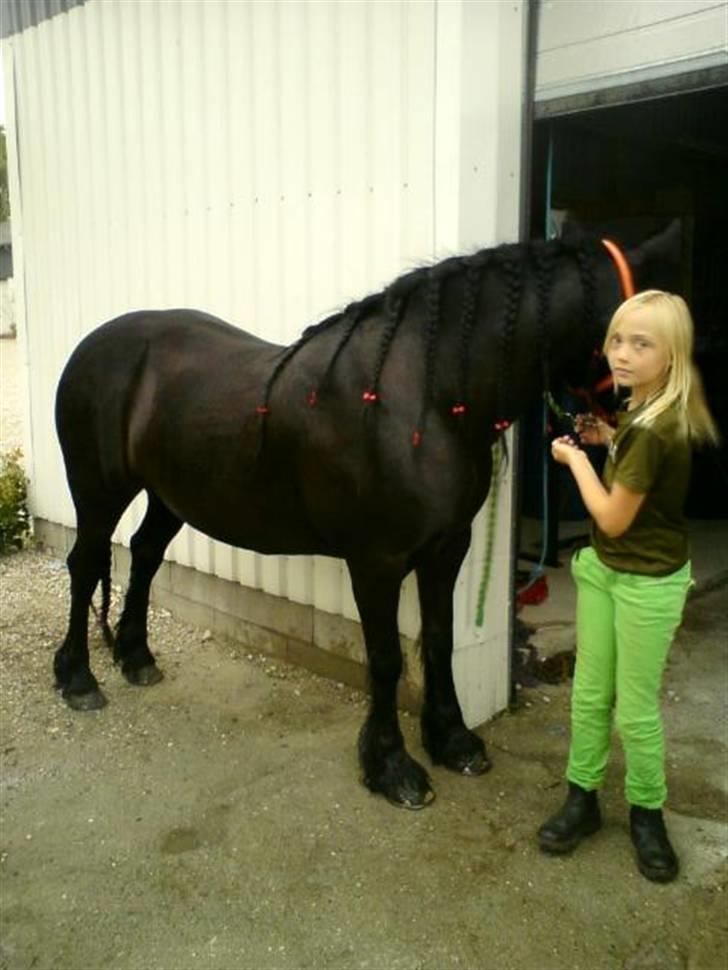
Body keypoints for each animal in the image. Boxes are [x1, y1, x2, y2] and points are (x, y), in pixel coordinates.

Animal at [54, 227, 677, 809]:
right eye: (635, 335)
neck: (424, 396)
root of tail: (92, 346)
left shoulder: (447, 547)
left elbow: (439, 638)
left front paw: (452, 740)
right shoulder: (376, 562)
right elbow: (385, 659)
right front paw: (392, 767)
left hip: (169, 496)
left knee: (144, 554)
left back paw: (136, 657)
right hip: (99, 493)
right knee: (85, 564)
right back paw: (77, 678)